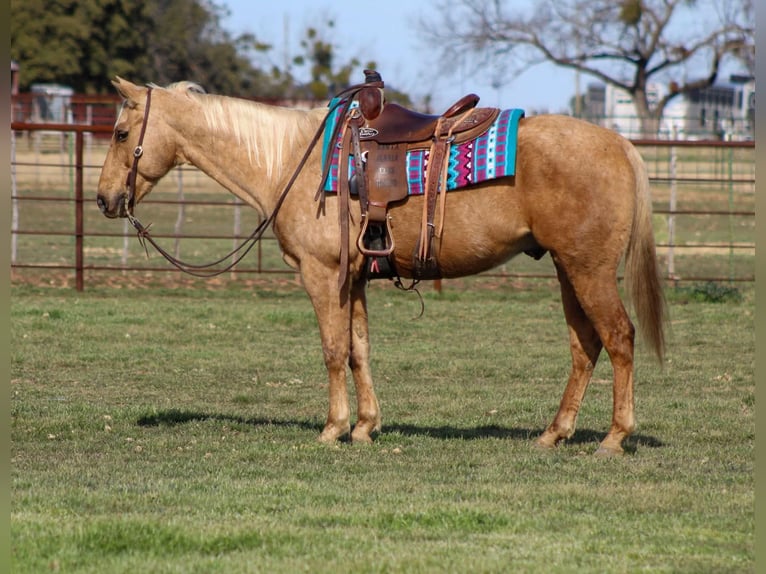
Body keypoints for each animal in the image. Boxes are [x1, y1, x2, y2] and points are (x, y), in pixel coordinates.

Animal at [99, 79, 668, 460]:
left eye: (122, 133)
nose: (105, 198)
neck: (291, 162)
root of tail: (619, 144)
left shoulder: (322, 274)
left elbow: (333, 350)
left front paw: (333, 428)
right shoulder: (353, 278)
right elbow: (359, 349)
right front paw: (365, 426)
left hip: (588, 269)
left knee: (618, 337)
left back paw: (614, 438)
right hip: (568, 269)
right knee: (585, 345)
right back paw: (553, 433)